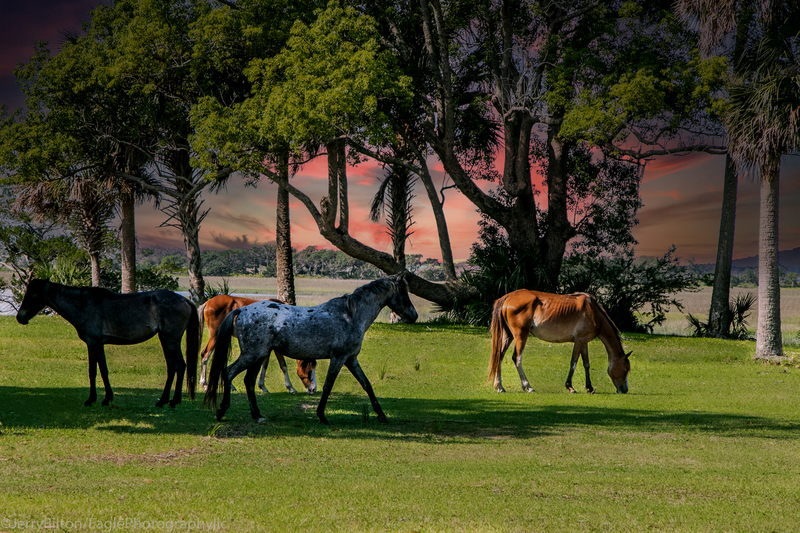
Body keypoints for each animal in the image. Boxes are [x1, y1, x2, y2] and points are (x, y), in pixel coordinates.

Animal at [16, 279, 200, 408]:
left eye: (32, 295)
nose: (20, 317)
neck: (83, 304)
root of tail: (185, 300)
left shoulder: (92, 343)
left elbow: (93, 371)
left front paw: (91, 399)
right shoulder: (99, 344)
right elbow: (103, 370)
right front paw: (107, 398)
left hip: (171, 340)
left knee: (180, 366)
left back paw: (174, 401)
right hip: (165, 339)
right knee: (171, 367)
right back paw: (162, 401)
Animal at [204, 273, 418, 425]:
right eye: (404, 293)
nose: (414, 315)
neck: (350, 315)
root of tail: (241, 310)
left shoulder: (351, 359)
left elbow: (366, 385)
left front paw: (381, 415)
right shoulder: (338, 358)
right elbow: (328, 386)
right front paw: (322, 415)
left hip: (259, 356)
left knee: (248, 381)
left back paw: (257, 415)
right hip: (252, 355)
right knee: (228, 372)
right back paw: (222, 410)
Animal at [488, 289, 630, 394]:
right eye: (626, 369)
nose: (624, 390)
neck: (593, 311)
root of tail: (508, 297)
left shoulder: (584, 342)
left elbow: (586, 364)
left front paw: (589, 387)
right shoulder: (579, 341)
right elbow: (573, 363)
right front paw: (570, 387)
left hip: (509, 335)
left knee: (499, 356)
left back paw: (499, 386)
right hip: (521, 335)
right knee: (517, 358)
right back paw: (527, 386)